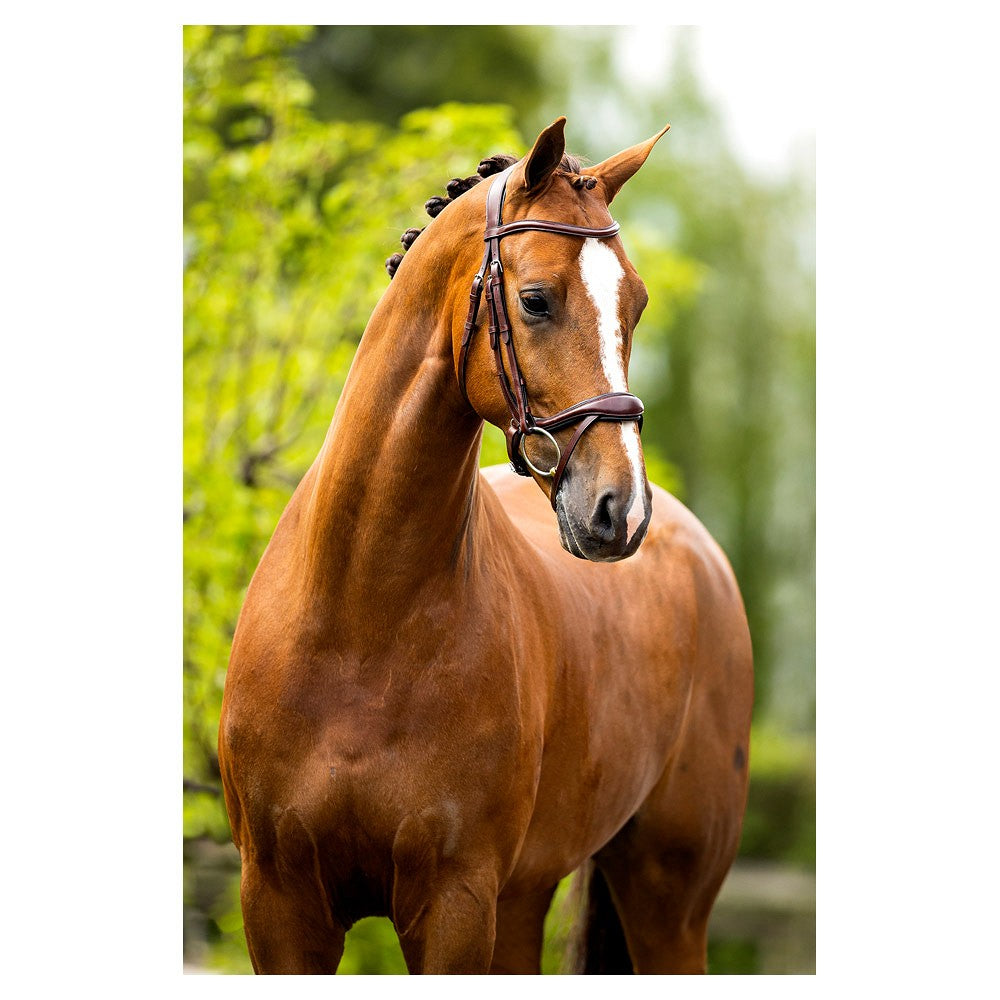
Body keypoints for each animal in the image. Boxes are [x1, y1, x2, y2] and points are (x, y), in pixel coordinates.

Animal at [217, 117, 753, 975]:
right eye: (535, 301)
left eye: (635, 304)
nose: (620, 511)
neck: (359, 620)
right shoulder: (278, 905)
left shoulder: (455, 905)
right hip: (527, 900)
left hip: (667, 906)